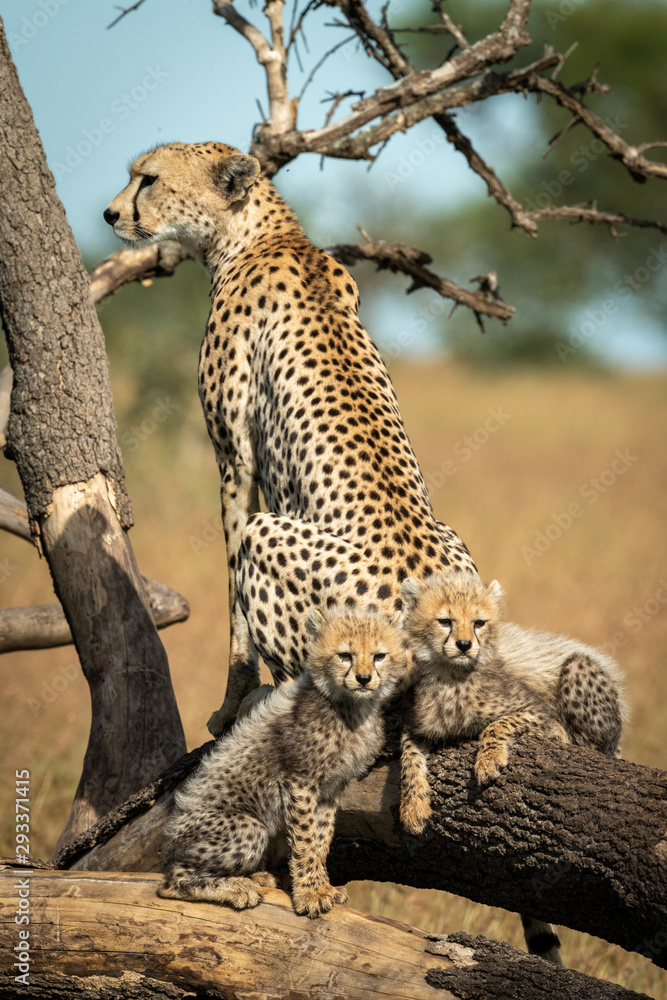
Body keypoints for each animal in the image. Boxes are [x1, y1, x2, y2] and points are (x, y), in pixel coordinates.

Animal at [103, 141, 476, 735]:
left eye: (149, 179)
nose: (110, 214)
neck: (257, 234)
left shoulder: (234, 458)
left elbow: (233, 599)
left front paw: (230, 703)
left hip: (273, 543)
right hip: (455, 541)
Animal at [158, 606, 406, 918]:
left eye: (379, 656)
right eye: (345, 655)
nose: (364, 678)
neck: (349, 707)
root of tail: (174, 840)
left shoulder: (331, 788)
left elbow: (321, 838)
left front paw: (322, 887)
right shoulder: (298, 782)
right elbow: (305, 840)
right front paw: (310, 894)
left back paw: (262, 876)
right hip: (247, 827)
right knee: (171, 881)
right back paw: (237, 888)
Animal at [397, 569, 625, 965]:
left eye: (479, 623)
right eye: (445, 621)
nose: (464, 645)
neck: (452, 676)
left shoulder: (547, 721)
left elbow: (498, 724)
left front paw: (488, 761)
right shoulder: (420, 727)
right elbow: (408, 756)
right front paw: (413, 808)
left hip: (579, 668)